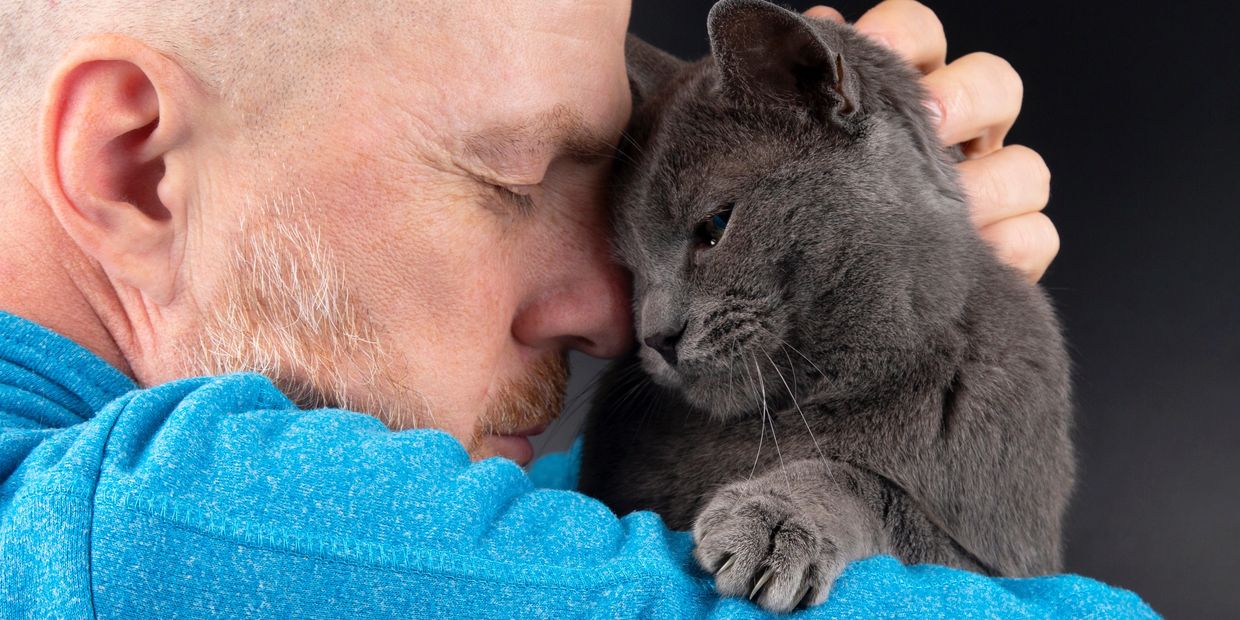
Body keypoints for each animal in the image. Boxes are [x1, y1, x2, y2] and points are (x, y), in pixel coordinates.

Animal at [580, 0, 1076, 610]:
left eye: (716, 224)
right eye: (630, 269)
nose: (656, 337)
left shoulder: (1012, 569)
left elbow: (873, 487)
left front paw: (776, 520)